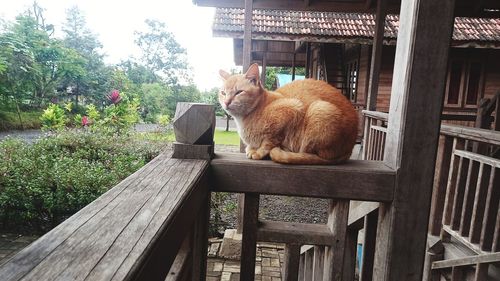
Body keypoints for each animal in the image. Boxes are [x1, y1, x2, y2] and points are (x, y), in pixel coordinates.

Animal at [221, 63, 358, 164]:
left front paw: (258, 152)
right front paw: (252, 148)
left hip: (319, 109)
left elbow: (270, 141)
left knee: (316, 155)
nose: (226, 102)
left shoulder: (292, 108)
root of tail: (349, 149)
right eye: (223, 93)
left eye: (239, 92)